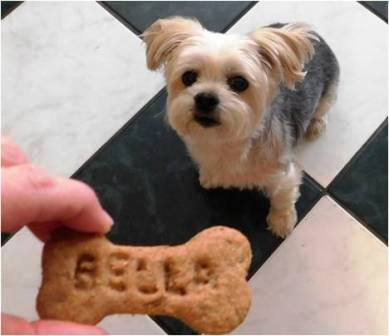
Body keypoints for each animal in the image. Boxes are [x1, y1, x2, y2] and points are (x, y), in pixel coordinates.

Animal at [142, 17, 336, 238]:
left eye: (239, 83)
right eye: (188, 77)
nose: (205, 98)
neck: (225, 141)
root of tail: (316, 37)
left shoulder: (283, 174)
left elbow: (283, 197)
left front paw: (282, 221)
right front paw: (209, 176)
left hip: (329, 91)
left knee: (322, 108)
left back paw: (316, 124)